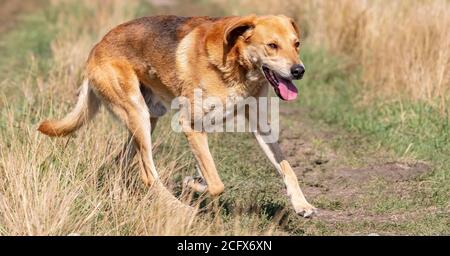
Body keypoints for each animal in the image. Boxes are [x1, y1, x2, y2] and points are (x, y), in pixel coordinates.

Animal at [37, 15, 316, 217]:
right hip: (137, 114)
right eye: (272, 46)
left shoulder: (260, 125)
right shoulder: (190, 124)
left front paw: (302, 205)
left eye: (296, 44)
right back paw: (181, 208)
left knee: (121, 163)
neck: (235, 65)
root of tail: (96, 47)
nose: (299, 70)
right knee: (148, 175)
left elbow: (286, 168)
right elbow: (216, 183)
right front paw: (194, 184)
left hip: (147, 119)